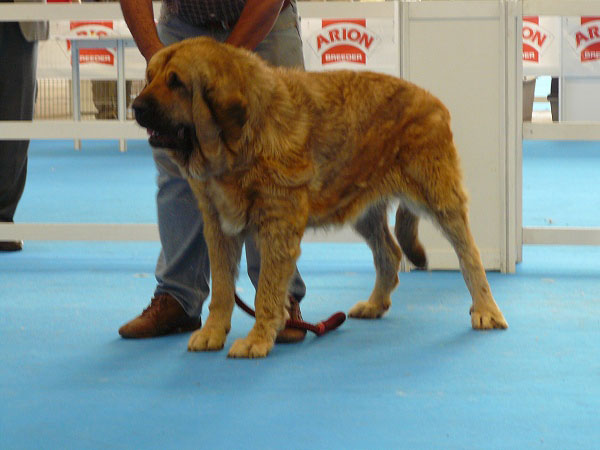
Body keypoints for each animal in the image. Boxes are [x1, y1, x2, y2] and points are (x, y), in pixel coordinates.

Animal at [131, 36, 506, 358]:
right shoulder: (219, 227)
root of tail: (432, 100)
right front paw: (213, 332)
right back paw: (375, 304)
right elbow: (222, 289)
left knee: (469, 254)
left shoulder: (278, 226)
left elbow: (266, 289)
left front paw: (257, 339)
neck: (240, 140)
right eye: (150, 78)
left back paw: (486, 310)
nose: (135, 106)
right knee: (389, 253)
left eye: (176, 82)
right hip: (361, 208)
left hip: (439, 197)